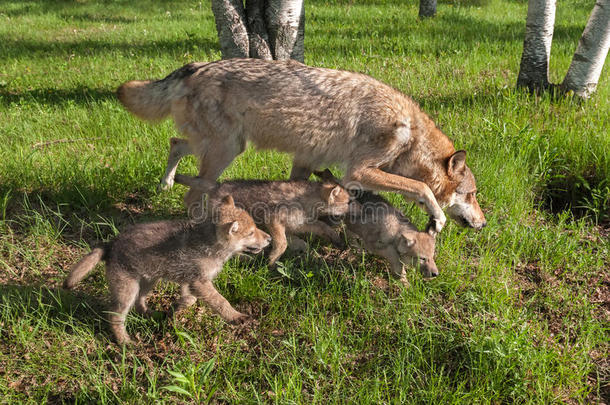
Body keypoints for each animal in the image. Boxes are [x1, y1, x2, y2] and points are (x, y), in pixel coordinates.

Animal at [63, 194, 270, 342]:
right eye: (251, 233)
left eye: (255, 228)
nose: (269, 239)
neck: (209, 244)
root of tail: (111, 243)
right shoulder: (200, 282)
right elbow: (221, 302)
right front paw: (236, 317)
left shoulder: (189, 281)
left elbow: (190, 299)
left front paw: (177, 308)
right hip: (127, 290)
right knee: (115, 316)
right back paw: (125, 342)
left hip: (147, 281)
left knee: (139, 303)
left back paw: (153, 314)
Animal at [115, 57, 484, 234]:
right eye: (471, 195)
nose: (483, 224)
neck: (410, 135)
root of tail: (196, 66)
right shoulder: (359, 171)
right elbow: (422, 187)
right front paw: (437, 219)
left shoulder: (307, 160)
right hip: (225, 151)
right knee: (191, 193)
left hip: (222, 146)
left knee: (175, 143)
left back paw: (165, 183)